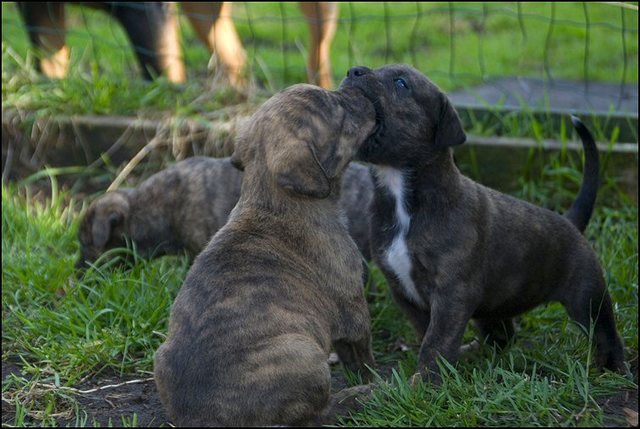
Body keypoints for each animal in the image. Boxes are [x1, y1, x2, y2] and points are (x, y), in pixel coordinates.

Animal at [153, 83, 378, 424]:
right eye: (339, 111)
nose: (359, 85)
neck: (272, 198)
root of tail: (204, 418)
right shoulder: (353, 311)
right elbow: (363, 357)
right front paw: (379, 383)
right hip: (305, 355)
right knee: (316, 416)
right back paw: (354, 398)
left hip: (160, 355)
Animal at [340, 62, 624, 382]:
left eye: (401, 83)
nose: (354, 71)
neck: (401, 194)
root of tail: (570, 222)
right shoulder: (403, 290)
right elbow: (427, 332)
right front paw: (436, 372)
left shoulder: (452, 294)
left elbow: (436, 340)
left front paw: (425, 381)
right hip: (495, 304)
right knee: (502, 334)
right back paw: (476, 353)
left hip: (586, 295)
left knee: (605, 333)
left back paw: (613, 369)